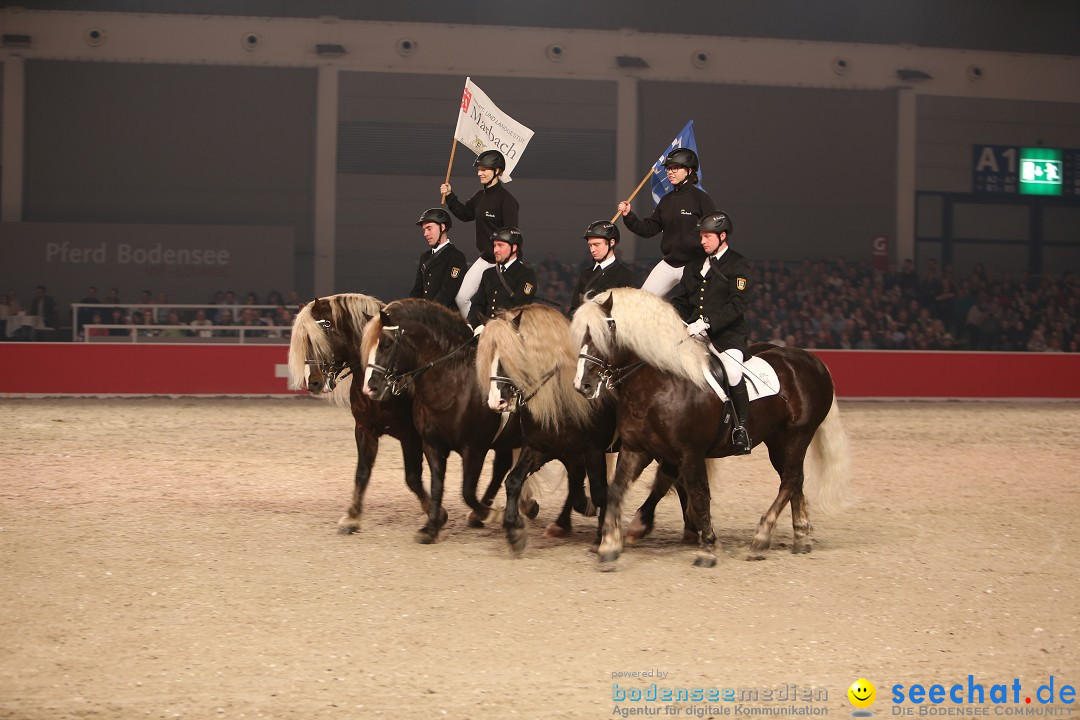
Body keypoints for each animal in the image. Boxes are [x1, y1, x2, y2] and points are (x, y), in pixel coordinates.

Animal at [574, 289, 851, 569]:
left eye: (602, 334)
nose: (582, 385)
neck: (660, 382)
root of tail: (812, 361)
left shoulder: (691, 453)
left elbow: (700, 495)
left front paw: (707, 549)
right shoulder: (637, 449)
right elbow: (616, 490)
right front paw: (609, 546)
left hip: (798, 435)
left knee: (791, 479)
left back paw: (762, 537)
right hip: (778, 440)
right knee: (794, 479)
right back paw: (801, 537)